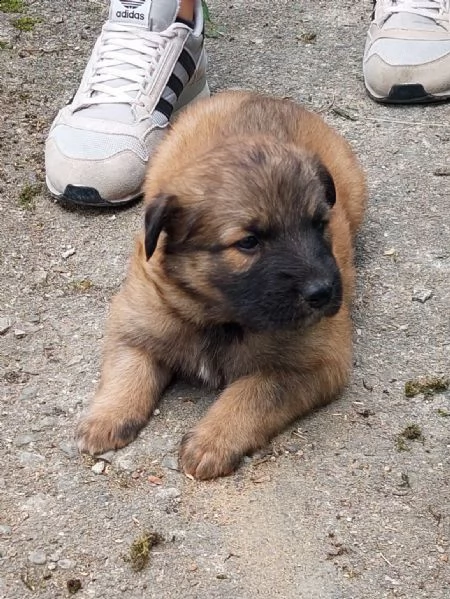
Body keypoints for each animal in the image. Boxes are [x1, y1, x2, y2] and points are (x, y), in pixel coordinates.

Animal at [75, 91, 368, 480]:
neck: (219, 316)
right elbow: (128, 368)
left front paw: (212, 441)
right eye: (248, 242)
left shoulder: (316, 361)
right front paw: (106, 417)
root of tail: (264, 97)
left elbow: (254, 391)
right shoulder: (135, 319)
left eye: (320, 223)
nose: (323, 293)